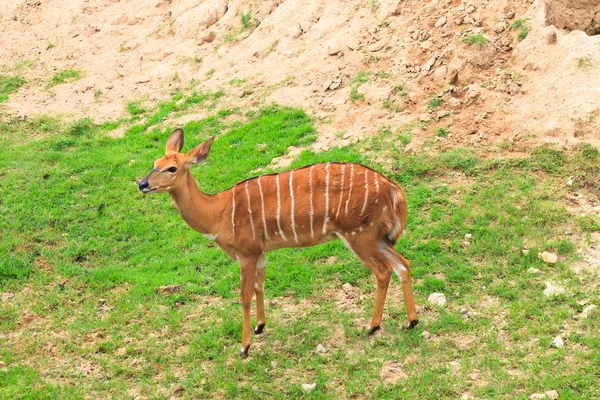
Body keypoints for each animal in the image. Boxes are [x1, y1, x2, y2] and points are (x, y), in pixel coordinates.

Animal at [138, 130, 418, 358]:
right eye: (154, 164)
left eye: (171, 168)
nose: (142, 184)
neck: (218, 213)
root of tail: (395, 191)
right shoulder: (260, 252)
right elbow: (260, 286)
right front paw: (260, 327)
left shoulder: (247, 253)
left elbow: (245, 295)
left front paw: (244, 347)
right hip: (378, 237)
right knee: (403, 264)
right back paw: (411, 322)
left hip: (359, 235)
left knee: (383, 271)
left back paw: (372, 326)